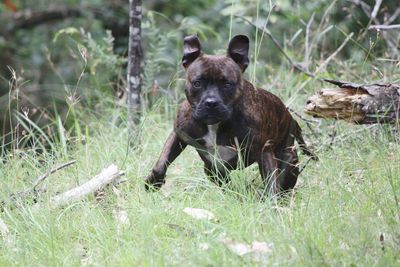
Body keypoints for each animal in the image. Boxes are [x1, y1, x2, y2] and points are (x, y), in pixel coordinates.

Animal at [144, 34, 316, 196]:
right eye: (197, 83)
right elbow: (162, 161)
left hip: (289, 161)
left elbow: (270, 184)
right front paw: (153, 182)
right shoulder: (179, 134)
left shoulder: (263, 151)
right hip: (211, 169)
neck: (214, 125)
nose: (211, 102)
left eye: (227, 84)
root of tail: (290, 117)